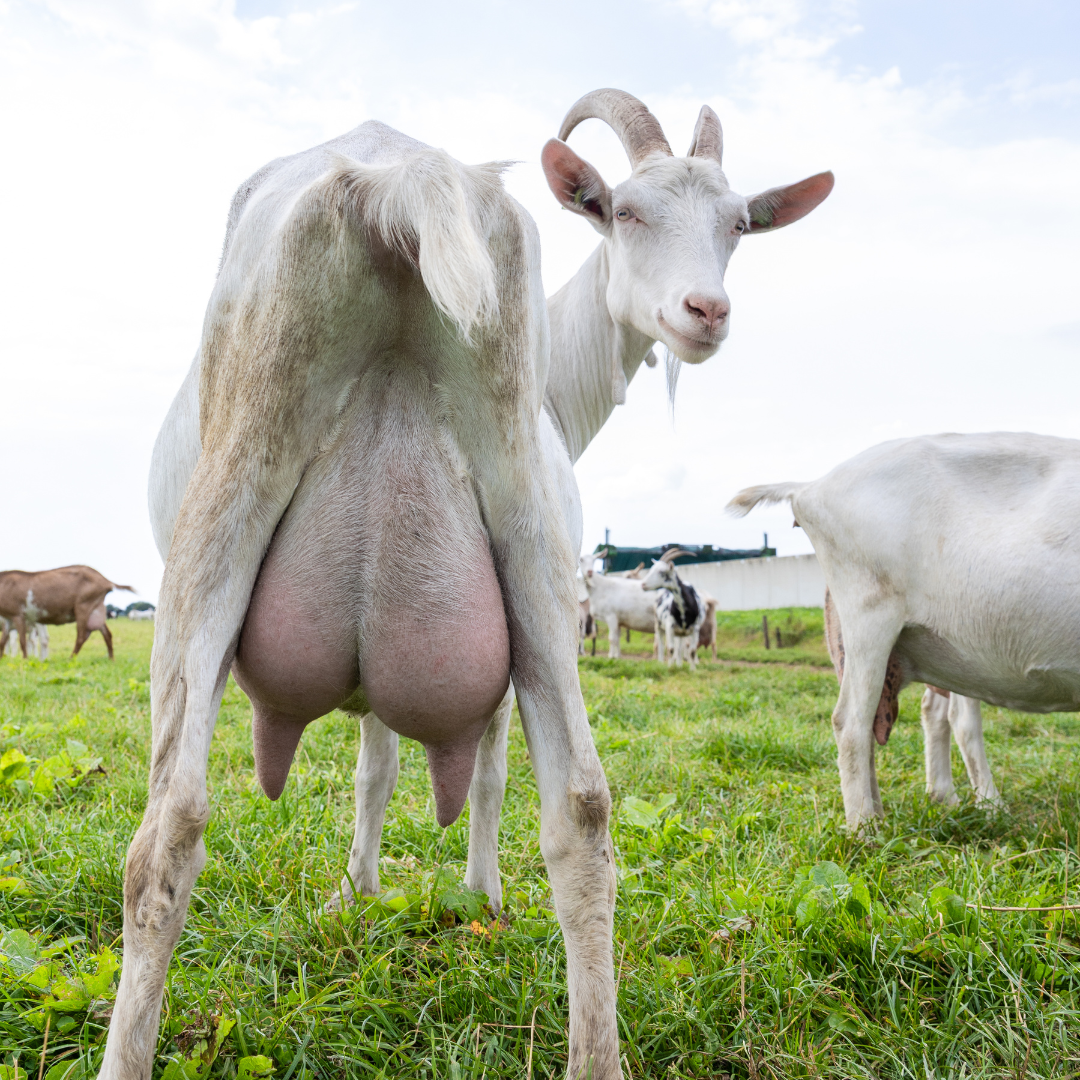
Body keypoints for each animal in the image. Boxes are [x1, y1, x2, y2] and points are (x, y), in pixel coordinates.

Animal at [0, 566, 132, 660]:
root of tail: (106, 581)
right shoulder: (8, 620)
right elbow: (3, 641)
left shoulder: (18, 615)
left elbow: (22, 641)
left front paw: (25, 660)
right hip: (96, 609)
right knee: (107, 633)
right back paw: (111, 659)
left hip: (84, 606)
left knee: (81, 636)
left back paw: (70, 659)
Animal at [119, 121, 620, 1079]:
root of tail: (398, 184)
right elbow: (382, 765)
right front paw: (366, 890)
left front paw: (364, 889)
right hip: (529, 526)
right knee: (580, 810)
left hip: (223, 506)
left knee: (167, 833)